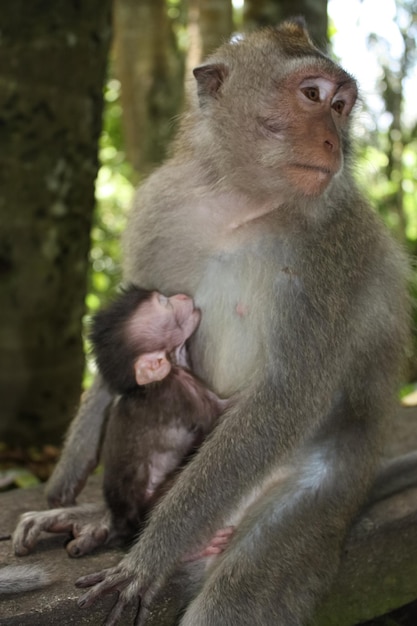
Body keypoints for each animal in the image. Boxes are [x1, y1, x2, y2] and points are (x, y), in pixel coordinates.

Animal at [49, 19, 410, 624]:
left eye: (340, 106)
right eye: (312, 95)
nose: (335, 141)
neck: (245, 204)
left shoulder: (334, 251)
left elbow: (287, 392)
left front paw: (150, 556)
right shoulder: (162, 207)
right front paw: (66, 477)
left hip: (317, 495)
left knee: (239, 589)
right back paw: (99, 520)